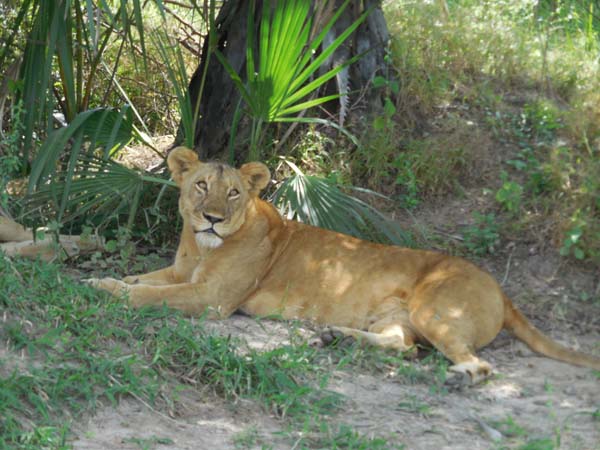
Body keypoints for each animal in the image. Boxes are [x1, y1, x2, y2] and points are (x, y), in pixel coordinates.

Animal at [86, 146, 596, 384]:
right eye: (200, 186)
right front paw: (110, 277)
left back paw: (460, 377)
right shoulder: (180, 273)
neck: (202, 246)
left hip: (435, 309)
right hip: (398, 317)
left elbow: (146, 294)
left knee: (477, 363)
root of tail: (502, 290)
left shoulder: (210, 298)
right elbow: (144, 279)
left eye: (232, 193)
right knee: (403, 347)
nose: (213, 218)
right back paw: (333, 337)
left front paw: (102, 288)